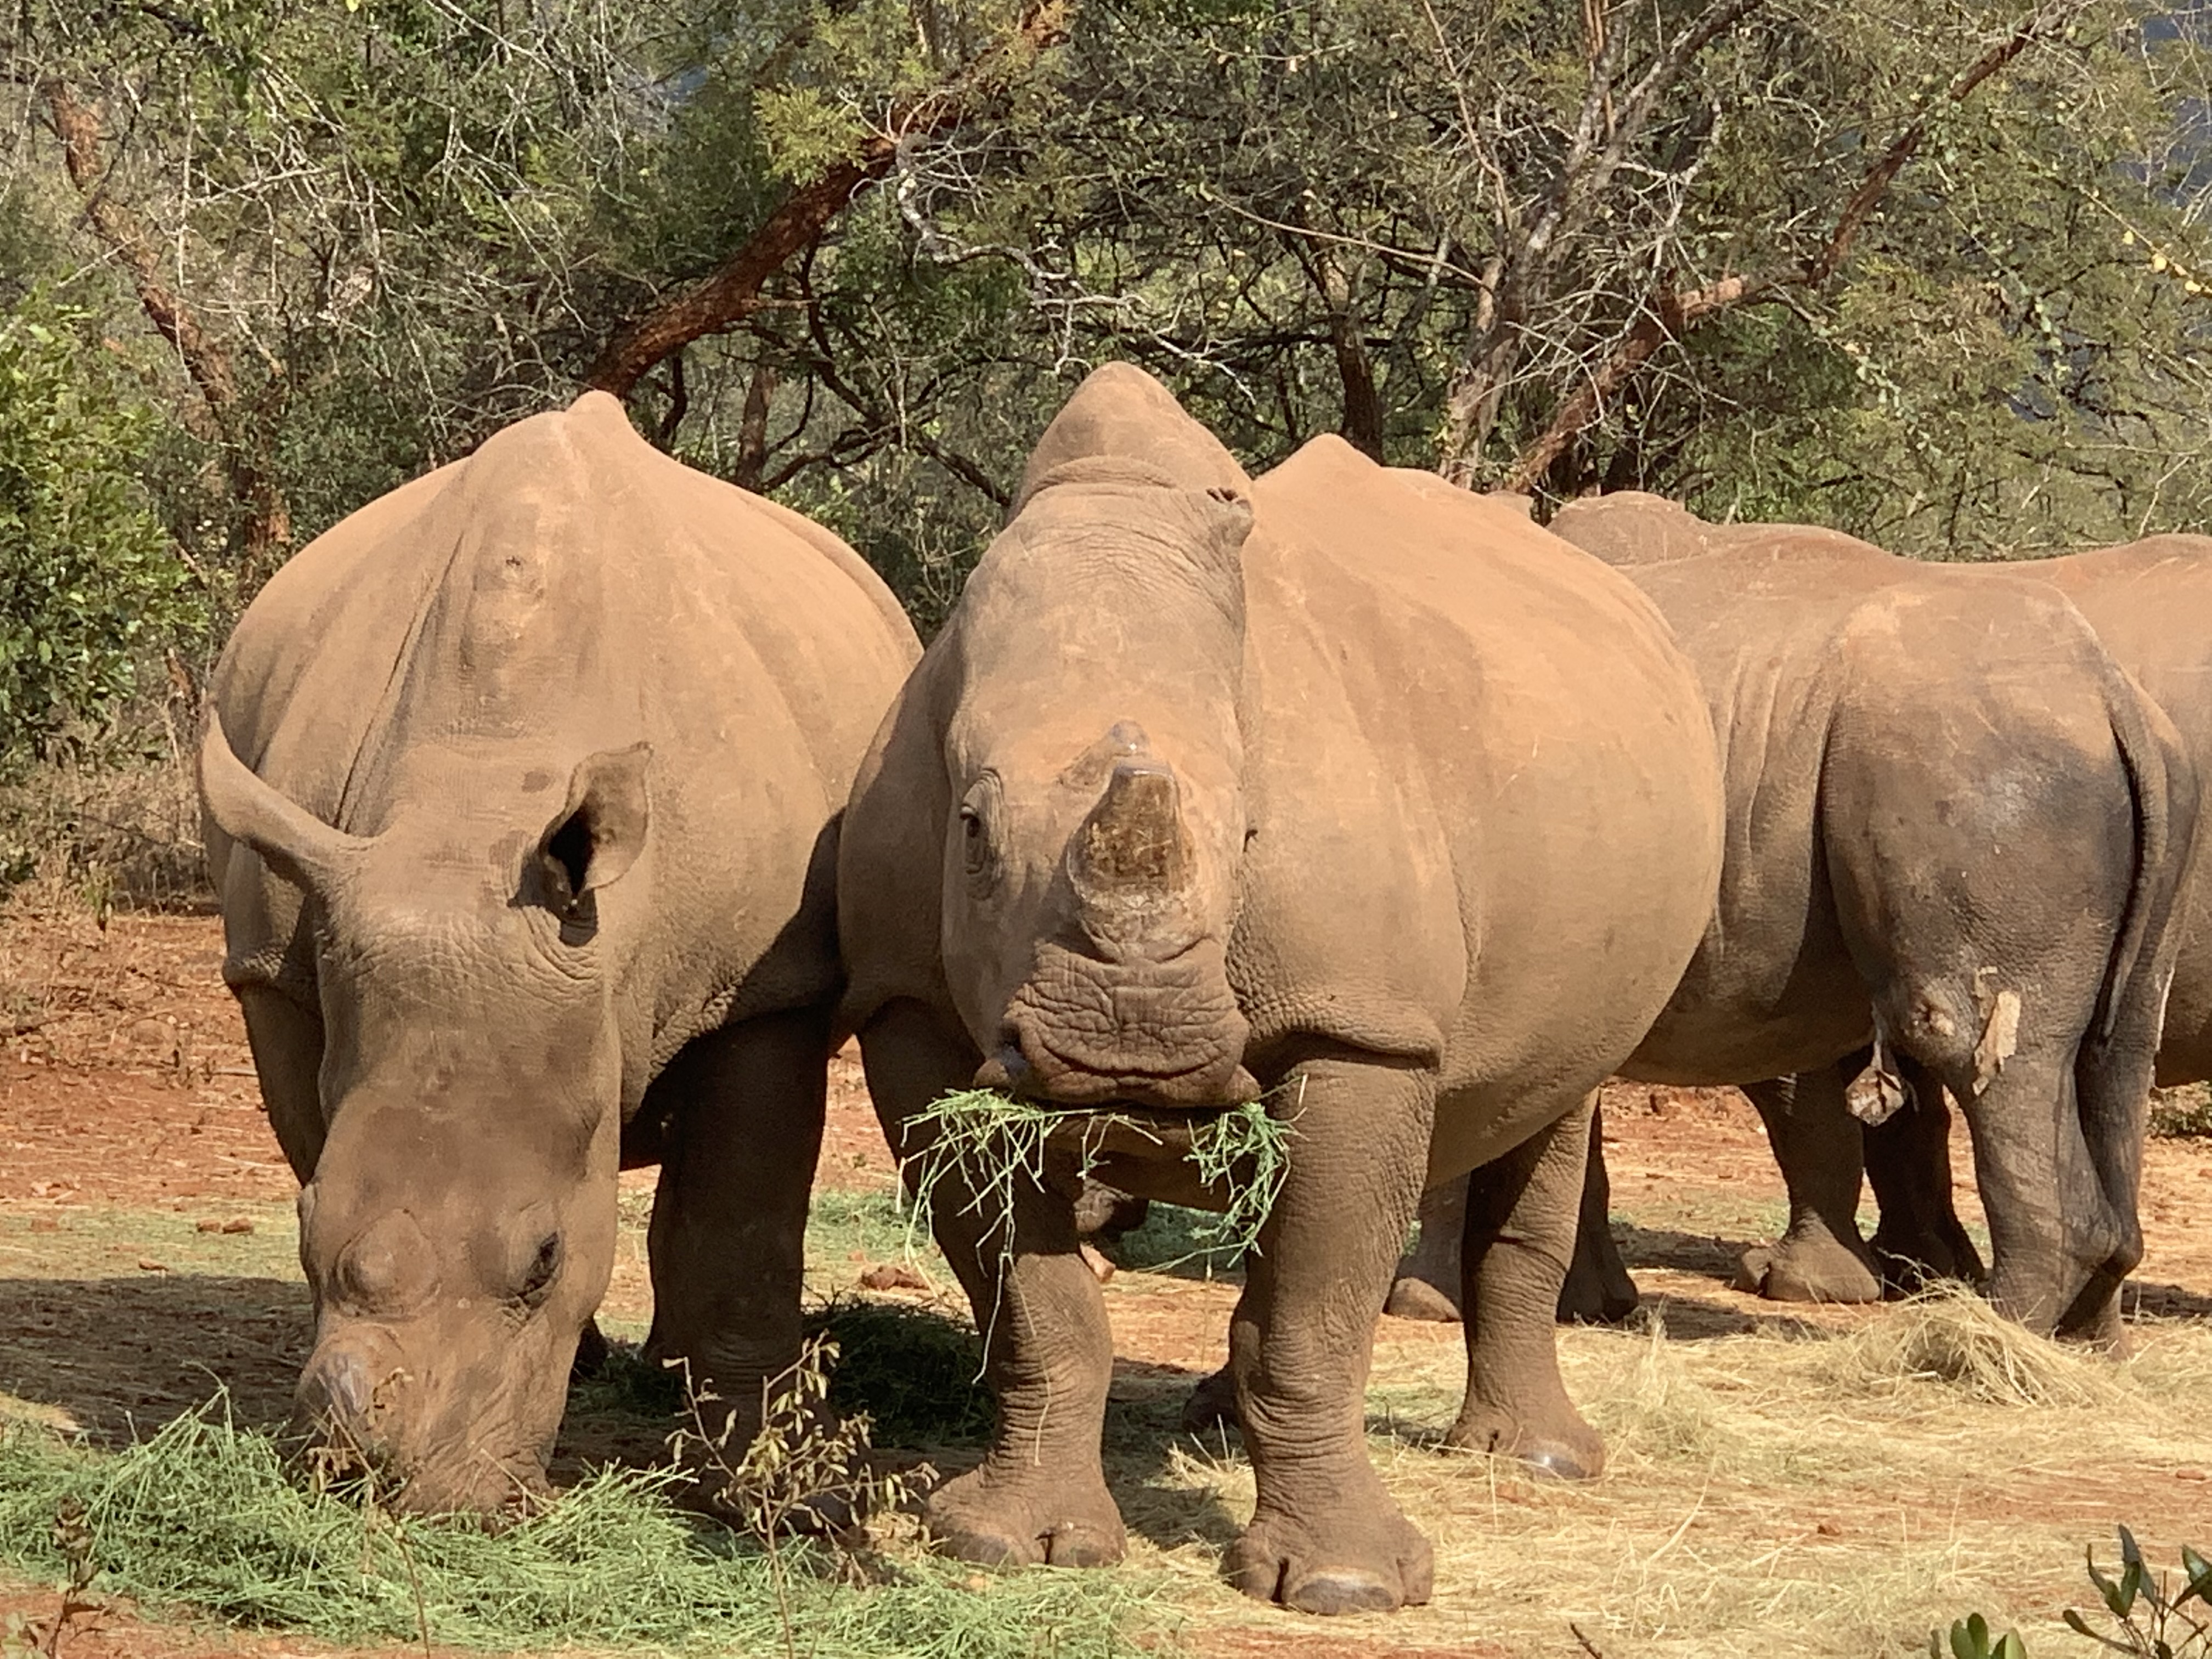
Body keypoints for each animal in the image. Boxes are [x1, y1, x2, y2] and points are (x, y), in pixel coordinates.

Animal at [198, 392, 918, 1511]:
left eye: (542, 1256)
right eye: (305, 1227)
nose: (391, 1489)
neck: (478, 794)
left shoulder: (766, 986)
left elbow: (741, 1221)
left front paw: (767, 1487)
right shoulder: (275, 961)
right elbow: (316, 1139)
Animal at [837, 365, 1723, 1614]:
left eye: (1253, 835)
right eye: (971, 827)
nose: (1132, 1049)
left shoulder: (1359, 1023)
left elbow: (1314, 1315)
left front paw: (1343, 1587)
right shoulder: (905, 1005)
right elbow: (1037, 1310)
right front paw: (1011, 1543)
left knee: (1554, 1102)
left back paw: (1538, 1463)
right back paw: (1215, 1424)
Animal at [1383, 495, 2196, 1344]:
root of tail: (2106, 691)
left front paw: (1426, 1304)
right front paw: (1588, 1305)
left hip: (1977, 769)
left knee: (1966, 1035)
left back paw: (1970, 1344)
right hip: (2154, 775)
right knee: (2120, 1048)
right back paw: (2085, 1346)